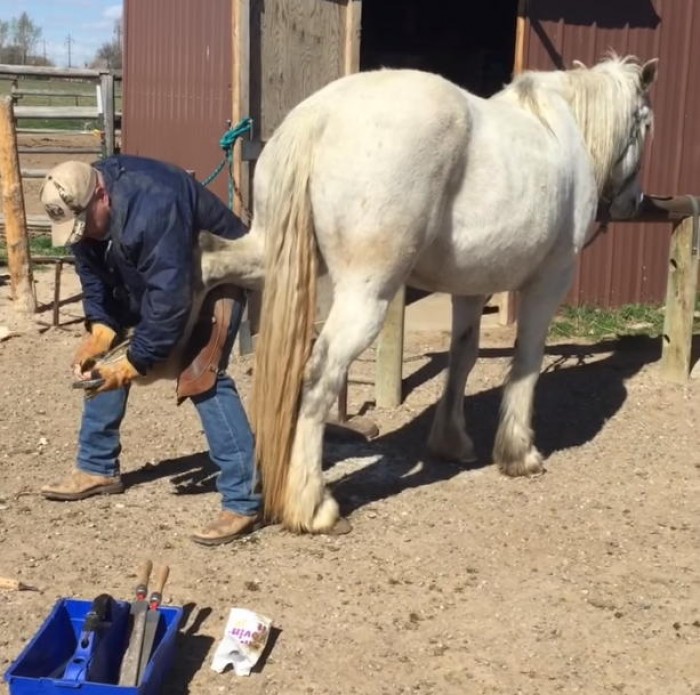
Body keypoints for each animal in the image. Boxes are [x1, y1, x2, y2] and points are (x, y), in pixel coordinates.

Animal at [249, 54, 660, 536]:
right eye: (645, 123)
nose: (634, 203)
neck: (564, 130)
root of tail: (320, 115)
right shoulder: (550, 279)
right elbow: (527, 359)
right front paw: (519, 453)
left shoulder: (472, 289)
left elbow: (462, 357)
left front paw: (451, 442)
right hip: (365, 298)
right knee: (319, 375)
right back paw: (313, 506)